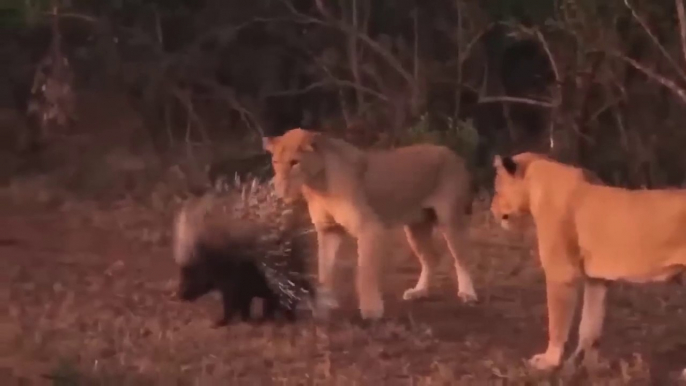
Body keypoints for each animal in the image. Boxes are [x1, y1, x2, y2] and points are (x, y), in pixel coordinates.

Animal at [264, 127, 478, 320]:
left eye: (294, 162)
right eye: (275, 162)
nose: (277, 189)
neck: (318, 187)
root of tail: (453, 153)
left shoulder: (370, 228)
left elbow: (364, 272)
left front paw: (371, 310)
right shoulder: (328, 231)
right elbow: (324, 270)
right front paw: (322, 306)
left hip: (450, 219)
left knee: (462, 257)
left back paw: (468, 294)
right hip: (416, 227)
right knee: (431, 258)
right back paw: (419, 292)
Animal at [492, 152, 686, 372]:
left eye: (497, 187)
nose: (492, 209)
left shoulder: (561, 271)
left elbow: (557, 321)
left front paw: (549, 360)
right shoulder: (597, 278)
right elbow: (590, 324)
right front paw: (589, 365)